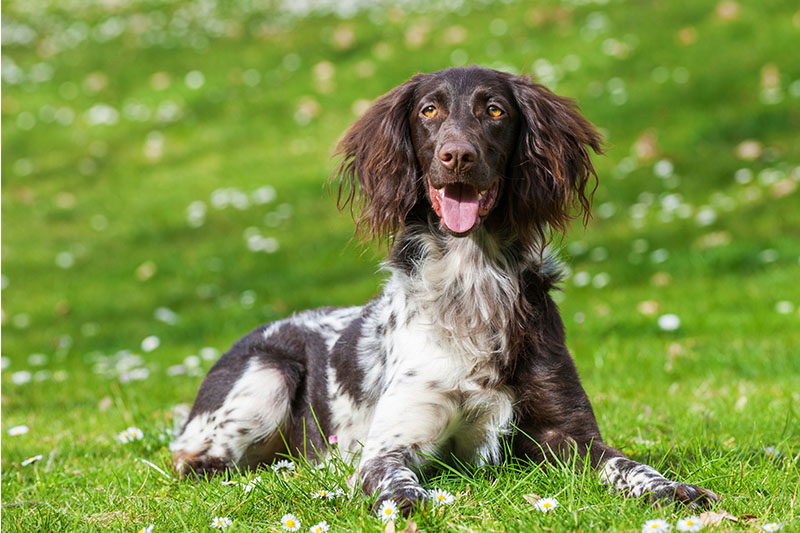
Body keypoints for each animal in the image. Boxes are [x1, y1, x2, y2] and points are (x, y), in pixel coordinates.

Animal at [170, 65, 720, 512]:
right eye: (429, 110)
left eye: (494, 110)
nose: (457, 155)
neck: (471, 281)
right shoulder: (390, 444)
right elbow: (395, 481)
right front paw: (409, 502)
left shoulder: (569, 433)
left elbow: (630, 465)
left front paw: (673, 488)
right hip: (268, 375)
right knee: (193, 458)